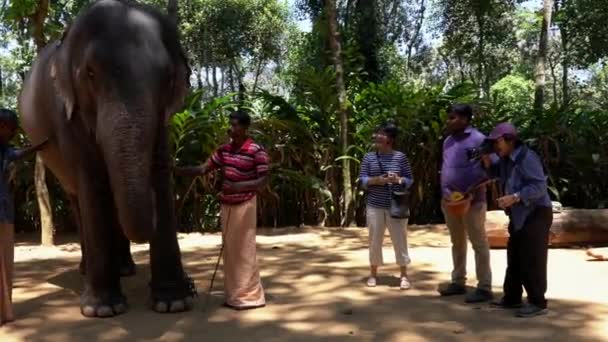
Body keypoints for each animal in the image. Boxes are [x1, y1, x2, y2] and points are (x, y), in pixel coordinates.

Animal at [18, 0, 195, 316]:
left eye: (168, 78)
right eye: (90, 74)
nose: (191, 283)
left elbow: (158, 169)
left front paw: (173, 302)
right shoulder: (67, 115)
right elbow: (91, 178)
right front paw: (102, 309)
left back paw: (124, 269)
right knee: (77, 197)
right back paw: (86, 270)